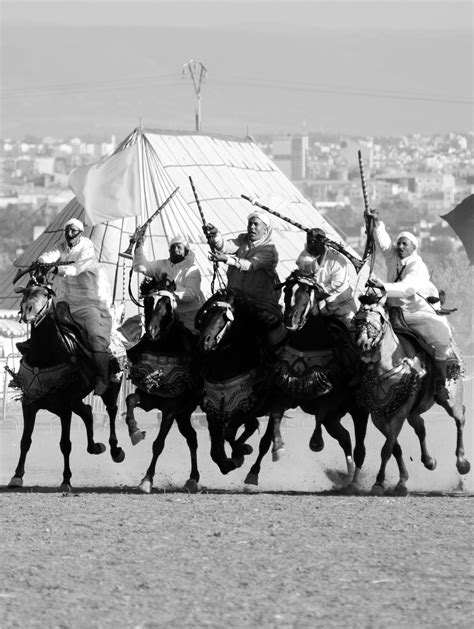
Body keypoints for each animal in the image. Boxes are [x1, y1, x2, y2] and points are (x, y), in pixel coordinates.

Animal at [7, 266, 125, 490]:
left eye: (45, 294)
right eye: (26, 292)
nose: (27, 310)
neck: (47, 354)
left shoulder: (64, 408)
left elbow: (65, 444)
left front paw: (66, 480)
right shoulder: (30, 403)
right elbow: (25, 440)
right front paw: (16, 476)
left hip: (110, 386)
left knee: (112, 411)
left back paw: (115, 450)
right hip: (74, 400)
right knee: (88, 412)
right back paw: (95, 447)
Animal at [124, 278, 202, 494]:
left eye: (167, 304)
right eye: (148, 301)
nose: (151, 333)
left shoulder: (170, 408)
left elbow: (158, 444)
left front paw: (146, 480)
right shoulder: (149, 396)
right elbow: (130, 399)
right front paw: (134, 432)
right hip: (184, 414)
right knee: (192, 438)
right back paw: (193, 479)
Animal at [195, 290, 270, 476]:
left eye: (226, 316)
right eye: (207, 313)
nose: (204, 342)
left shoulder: (249, 406)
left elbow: (229, 433)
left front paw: (241, 452)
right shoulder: (214, 409)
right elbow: (216, 450)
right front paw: (230, 461)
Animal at [244, 272, 370, 490]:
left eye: (305, 293)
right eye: (287, 291)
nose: (290, 321)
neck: (309, 343)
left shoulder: (325, 395)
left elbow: (319, 414)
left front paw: (316, 442)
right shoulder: (284, 392)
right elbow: (270, 429)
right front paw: (261, 464)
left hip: (359, 411)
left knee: (360, 447)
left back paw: (354, 482)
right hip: (334, 418)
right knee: (345, 438)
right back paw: (347, 475)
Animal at [354, 286, 468, 496]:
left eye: (379, 317)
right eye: (357, 318)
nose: (362, 345)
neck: (386, 366)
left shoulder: (399, 413)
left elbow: (387, 448)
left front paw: (379, 482)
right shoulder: (378, 416)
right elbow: (395, 447)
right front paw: (401, 482)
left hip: (450, 400)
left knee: (460, 418)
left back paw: (462, 463)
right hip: (414, 412)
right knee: (421, 428)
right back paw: (429, 461)